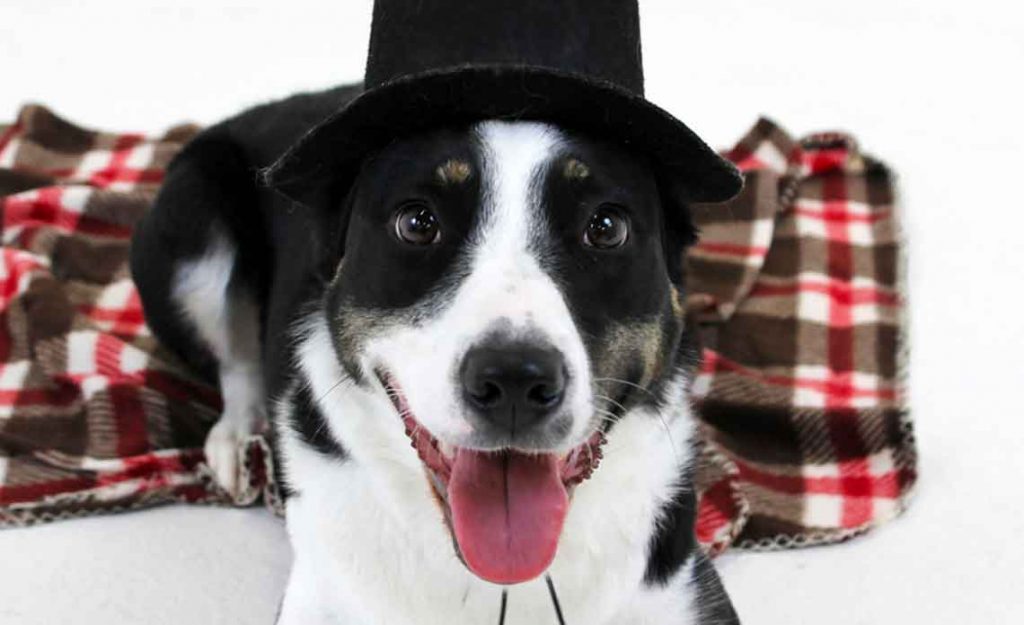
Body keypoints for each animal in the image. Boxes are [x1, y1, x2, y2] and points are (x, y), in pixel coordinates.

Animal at [130, 84, 737, 622]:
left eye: (606, 227)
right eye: (417, 223)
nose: (513, 380)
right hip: (189, 217)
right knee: (235, 359)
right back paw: (238, 437)